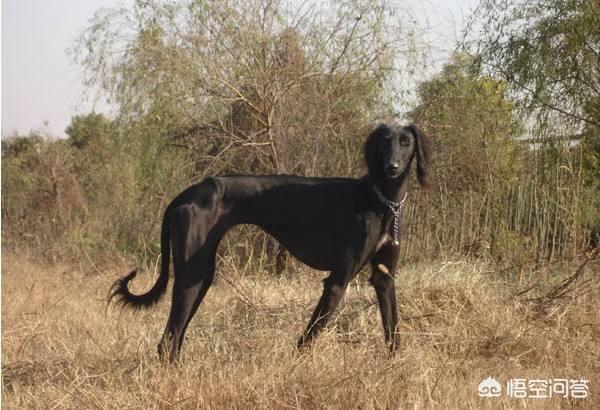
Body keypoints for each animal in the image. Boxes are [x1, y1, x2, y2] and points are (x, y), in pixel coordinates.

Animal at [109, 124, 432, 362]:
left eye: (406, 142)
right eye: (384, 142)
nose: (392, 167)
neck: (381, 199)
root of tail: (187, 193)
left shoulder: (384, 277)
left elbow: (393, 328)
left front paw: (395, 365)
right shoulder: (337, 280)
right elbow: (310, 335)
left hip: (202, 276)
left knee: (175, 338)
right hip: (191, 275)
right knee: (168, 341)